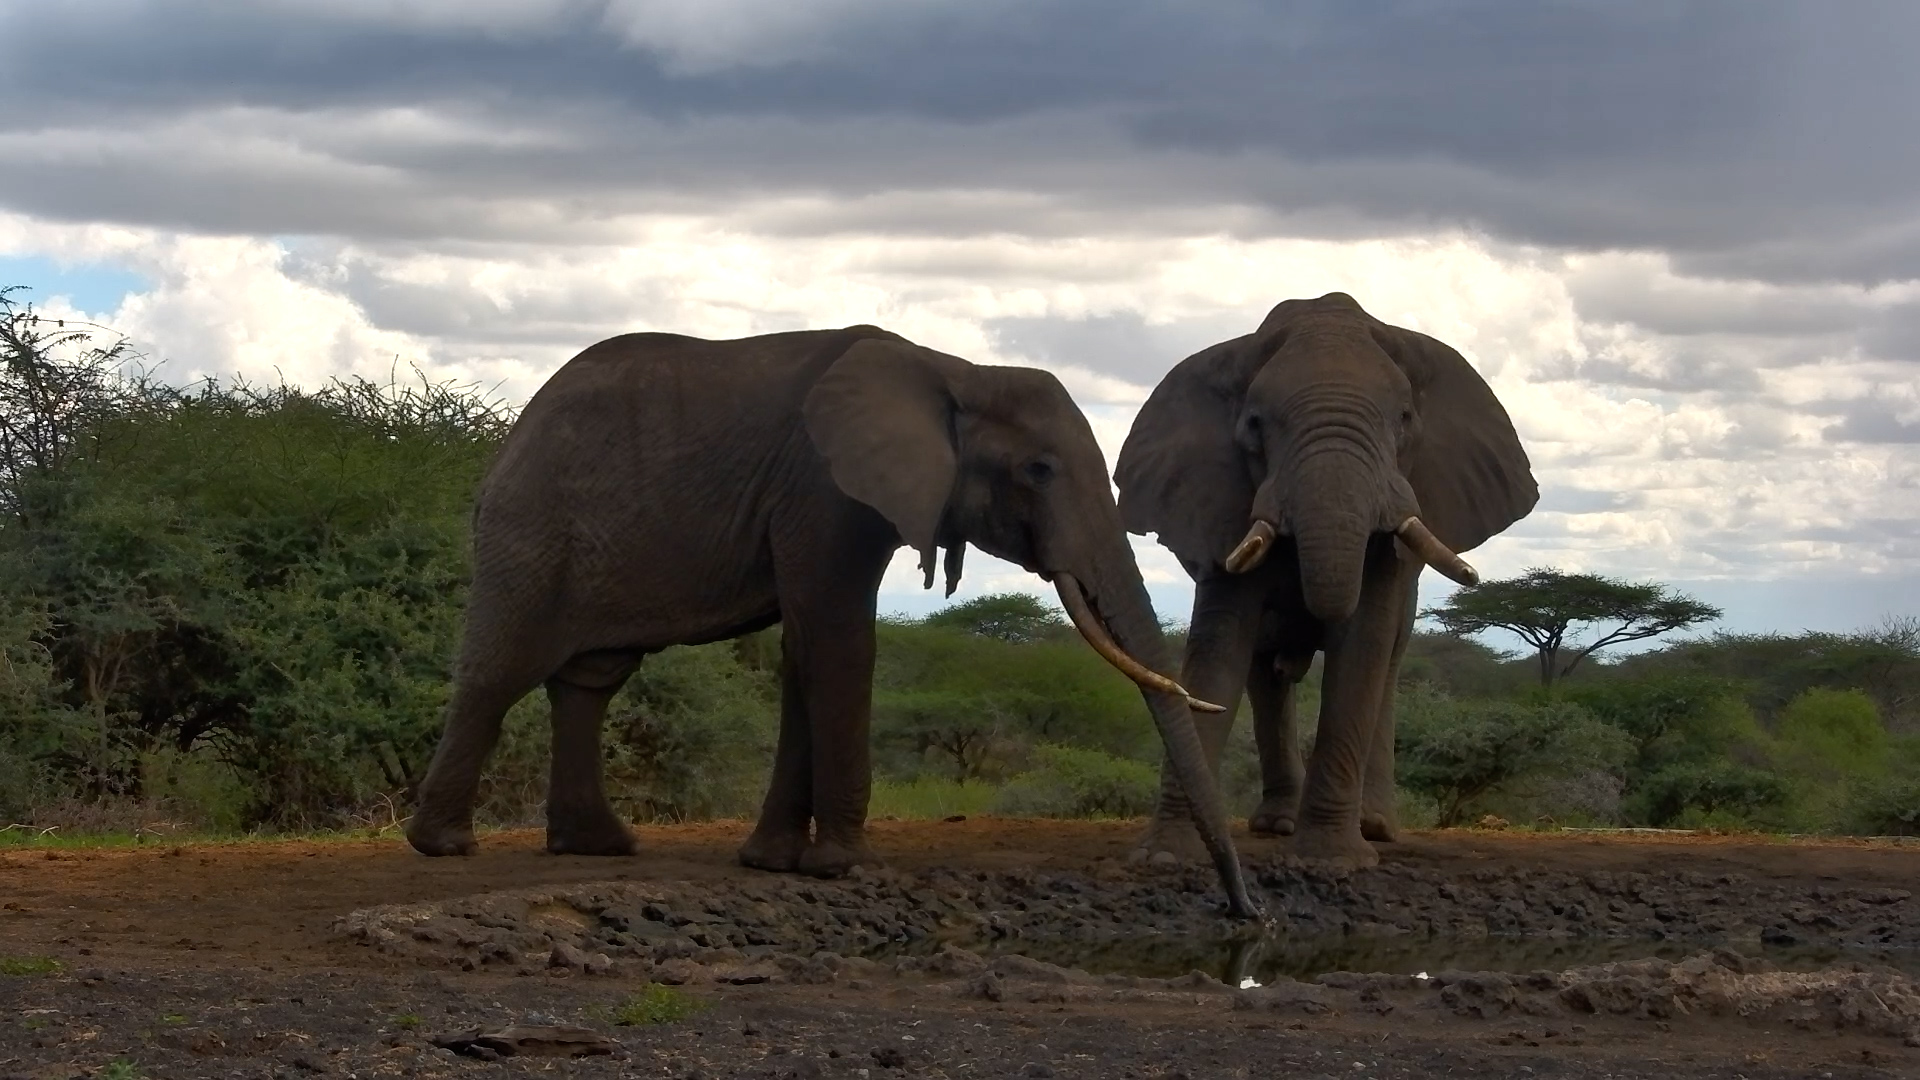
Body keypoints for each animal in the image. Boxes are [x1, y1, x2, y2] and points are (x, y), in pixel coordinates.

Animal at [404, 324, 1258, 916]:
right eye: (1039, 470)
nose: (1245, 913)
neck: (953, 369)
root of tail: (509, 438)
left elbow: (805, 651)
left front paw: (775, 862)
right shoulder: (825, 487)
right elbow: (841, 642)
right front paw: (845, 866)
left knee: (590, 680)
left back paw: (601, 847)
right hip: (533, 527)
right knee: (501, 670)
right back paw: (444, 846)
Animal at [1114, 293, 1537, 866]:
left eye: (1404, 420)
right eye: (1254, 425)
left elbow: (1362, 645)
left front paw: (1331, 861)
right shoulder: (1219, 502)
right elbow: (1218, 649)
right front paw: (1166, 857)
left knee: (1387, 664)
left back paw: (1373, 826)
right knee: (1265, 674)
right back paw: (1278, 822)